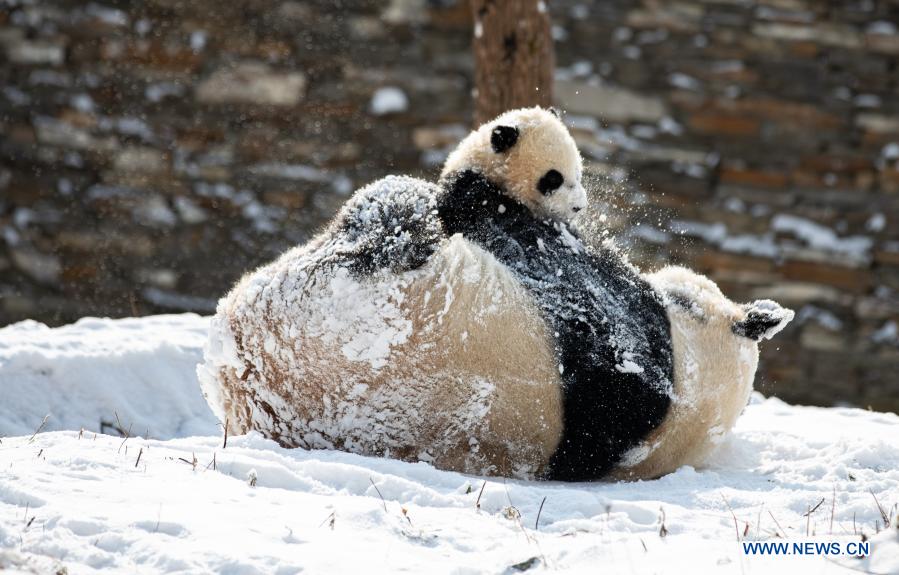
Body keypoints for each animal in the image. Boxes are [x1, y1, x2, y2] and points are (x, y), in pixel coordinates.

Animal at [197, 107, 796, 482]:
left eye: (689, 303)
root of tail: (238, 382)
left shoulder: (617, 343)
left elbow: (530, 244)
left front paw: (483, 192)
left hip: (346, 305)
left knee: (389, 209)